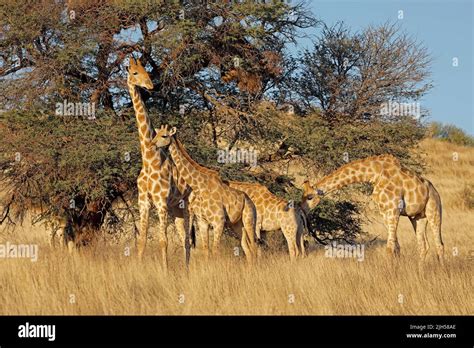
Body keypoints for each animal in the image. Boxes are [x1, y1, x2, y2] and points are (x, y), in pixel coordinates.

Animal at [128, 57, 193, 270]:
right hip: (175, 209)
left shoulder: (160, 201)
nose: (150, 85)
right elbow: (142, 240)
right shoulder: (143, 201)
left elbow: (163, 240)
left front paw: (165, 272)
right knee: (183, 238)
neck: (149, 160)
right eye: (134, 72)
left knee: (188, 240)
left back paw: (187, 270)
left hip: (187, 206)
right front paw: (138, 269)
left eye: (146, 70)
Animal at [150, 126, 258, 262]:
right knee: (247, 249)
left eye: (164, 136)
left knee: (254, 247)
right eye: (156, 134)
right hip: (237, 224)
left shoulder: (219, 221)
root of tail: (251, 202)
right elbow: (207, 250)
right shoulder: (202, 222)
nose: (152, 144)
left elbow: (215, 251)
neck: (199, 187)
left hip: (249, 220)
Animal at [300, 155, 444, 264]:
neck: (375, 173)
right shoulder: (385, 212)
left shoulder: (393, 210)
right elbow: (396, 247)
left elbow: (389, 248)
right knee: (423, 246)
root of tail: (435, 192)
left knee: (440, 244)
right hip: (417, 217)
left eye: (309, 197)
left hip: (434, 210)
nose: (301, 209)